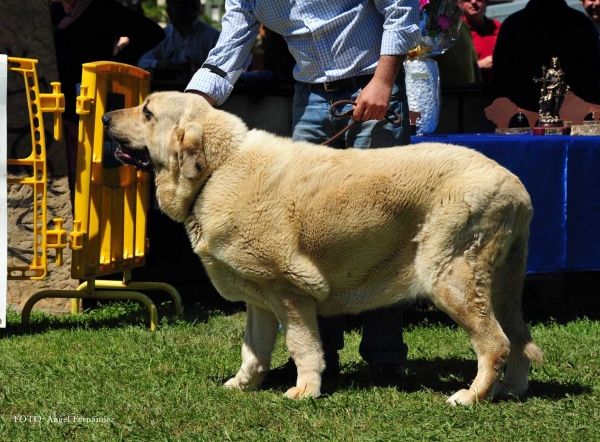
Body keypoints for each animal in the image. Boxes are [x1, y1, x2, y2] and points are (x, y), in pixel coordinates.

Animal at [102, 91, 544, 406]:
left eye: (147, 112)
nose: (105, 118)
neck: (218, 168)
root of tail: (516, 187)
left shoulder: (288, 291)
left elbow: (303, 346)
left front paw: (305, 391)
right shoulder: (259, 299)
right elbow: (253, 350)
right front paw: (243, 384)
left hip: (450, 278)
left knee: (495, 343)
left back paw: (472, 396)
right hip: (501, 286)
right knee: (519, 338)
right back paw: (511, 390)